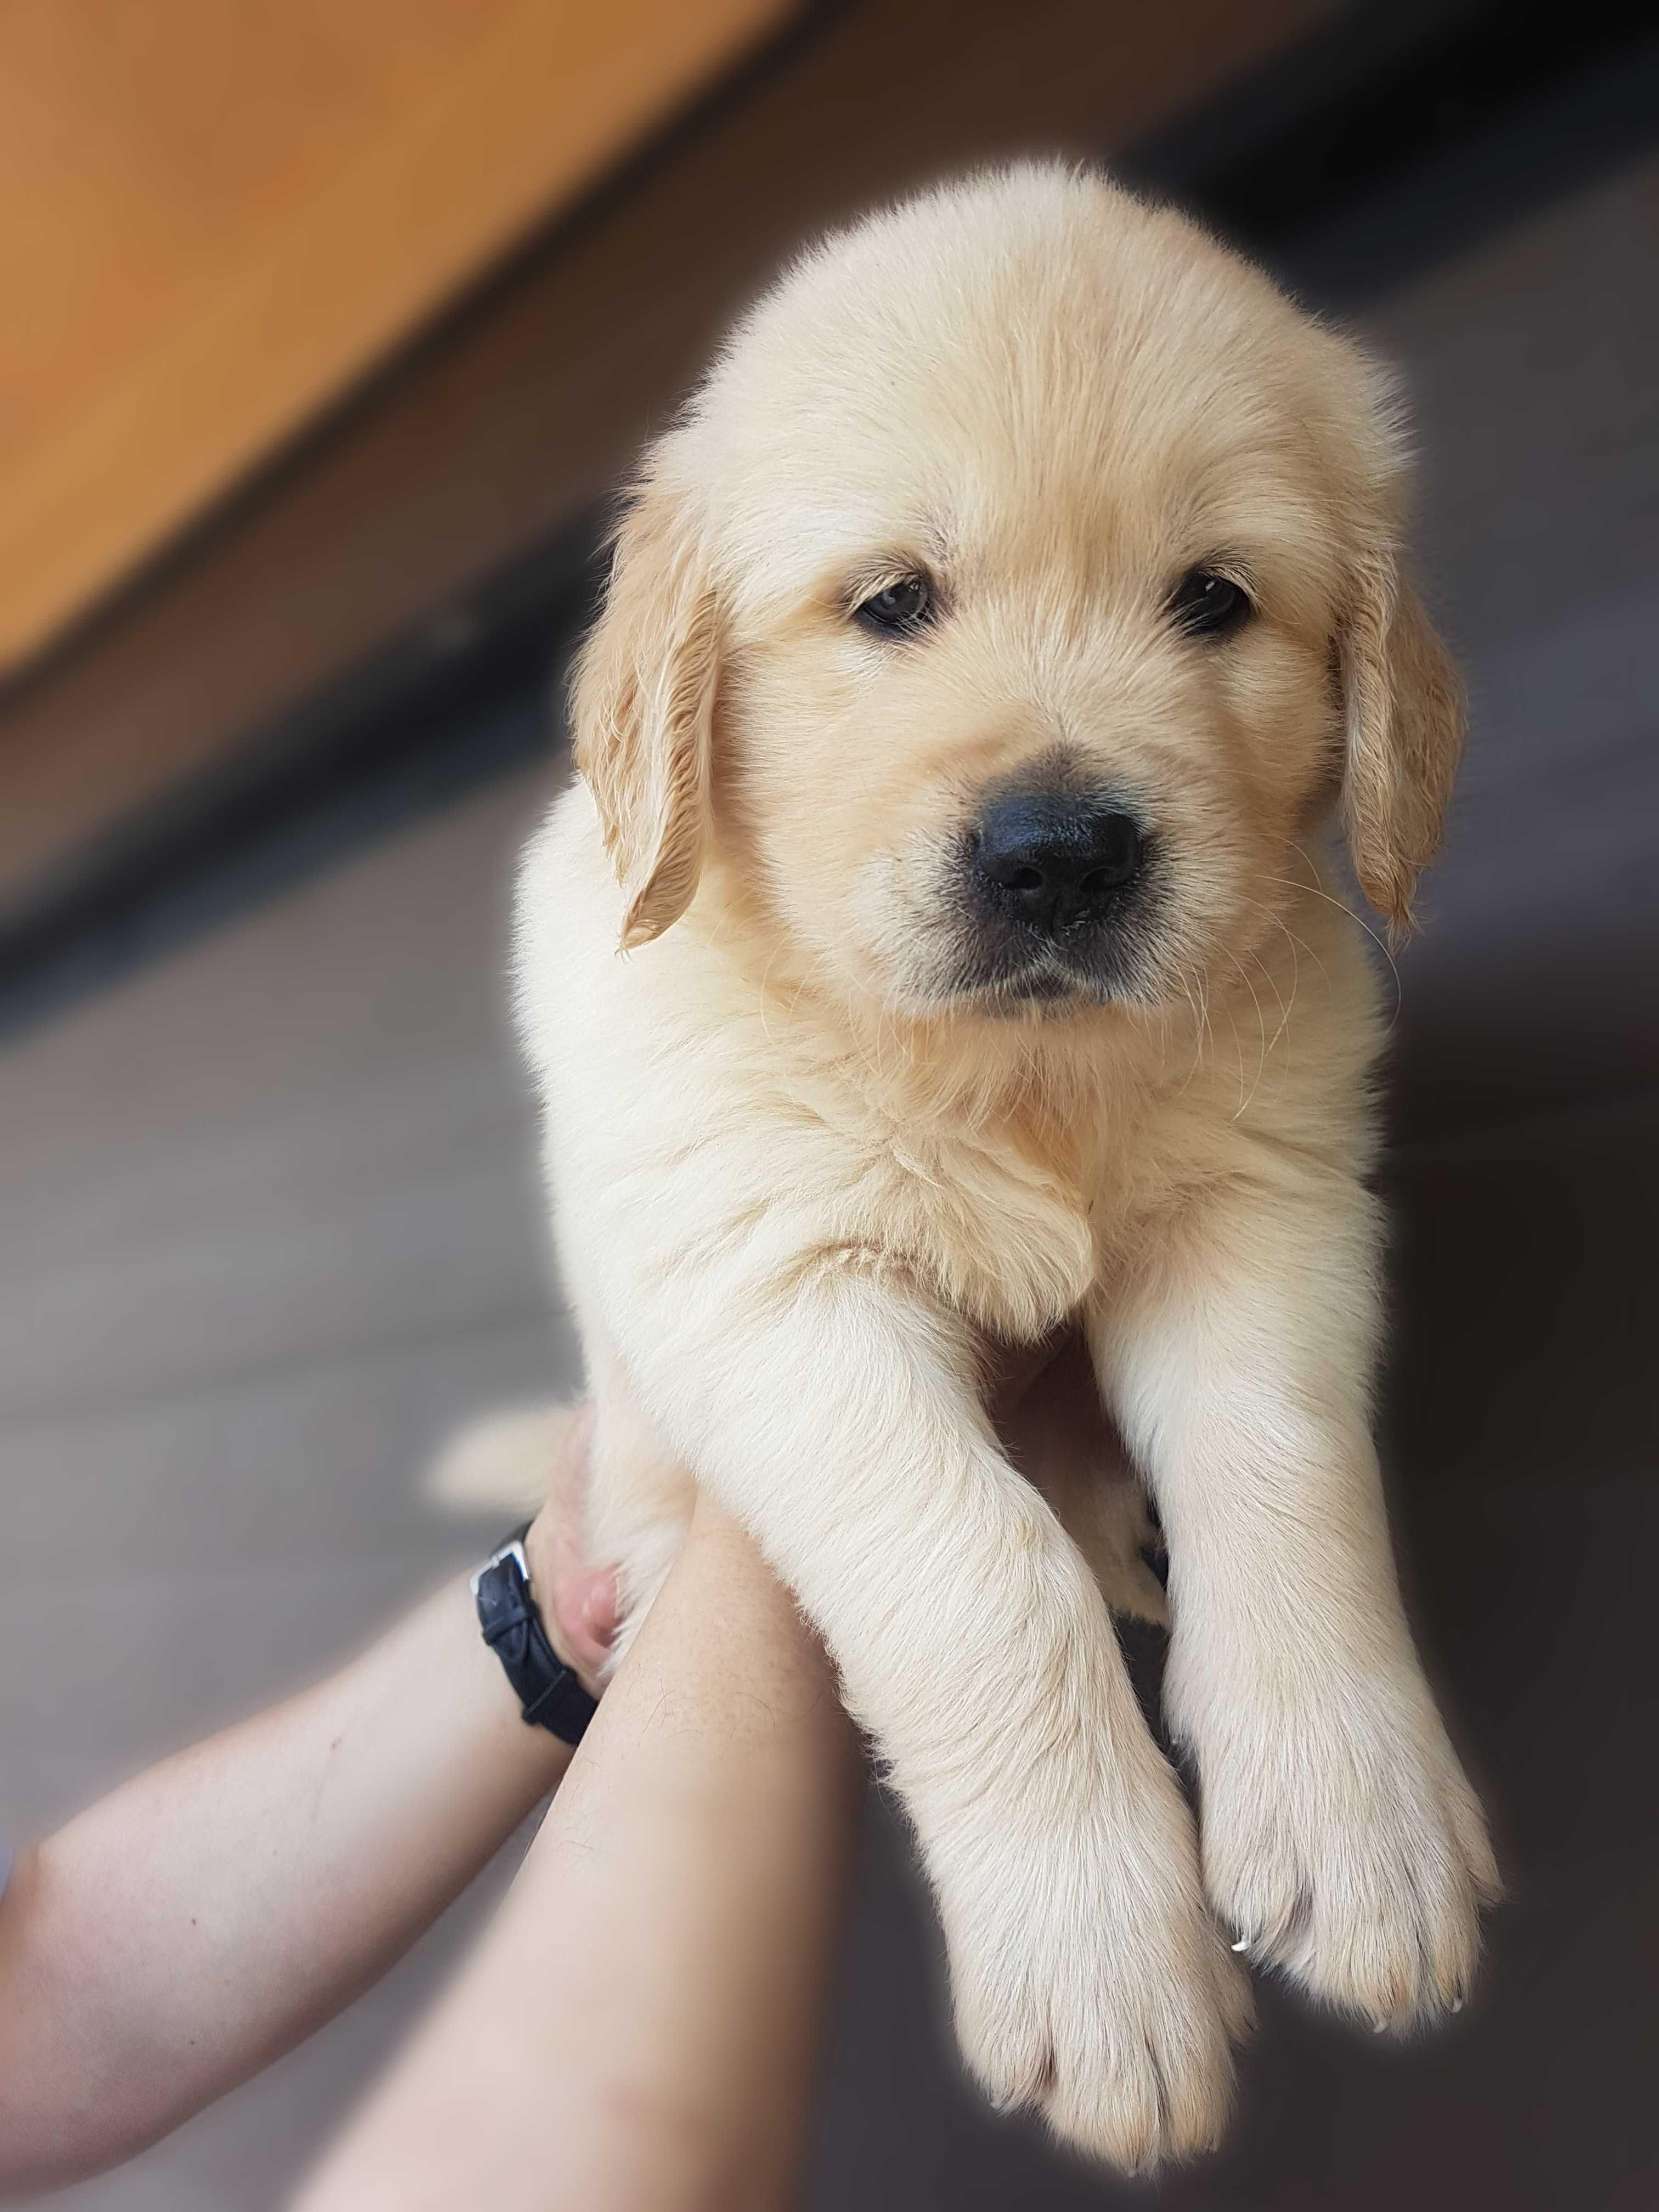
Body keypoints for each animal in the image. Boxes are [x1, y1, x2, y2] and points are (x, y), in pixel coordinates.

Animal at [511, 163, 1504, 2168]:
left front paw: (1356, 1813)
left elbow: (1283, 1470)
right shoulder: (767, 1281)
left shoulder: (1262, 1203)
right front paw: (1099, 1951)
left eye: (1215, 599)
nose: (1059, 855)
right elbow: (979, 1573)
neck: (1014, 1078)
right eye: (891, 602)